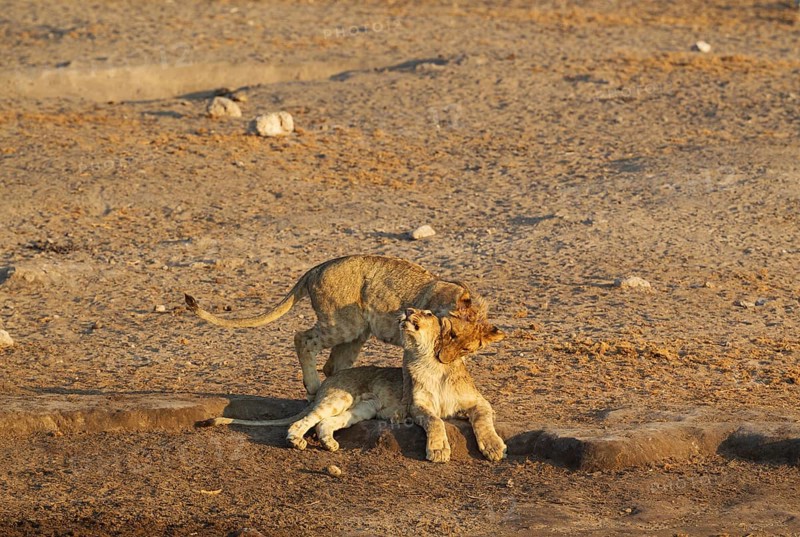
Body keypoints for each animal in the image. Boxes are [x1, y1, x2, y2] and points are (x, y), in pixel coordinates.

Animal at [185, 255, 503, 397]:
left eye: (467, 347)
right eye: (451, 333)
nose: (442, 356)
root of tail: (315, 268)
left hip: (356, 333)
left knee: (332, 365)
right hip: (343, 324)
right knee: (302, 338)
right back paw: (313, 387)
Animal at [197, 308, 507, 463]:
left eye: (428, 313)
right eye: (413, 307)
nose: (408, 310)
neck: (431, 362)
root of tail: (328, 380)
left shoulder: (479, 401)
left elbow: (483, 418)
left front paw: (493, 447)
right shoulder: (416, 406)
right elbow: (436, 421)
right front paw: (440, 450)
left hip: (362, 409)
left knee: (325, 424)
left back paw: (329, 444)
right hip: (340, 398)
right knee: (305, 420)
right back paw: (296, 440)